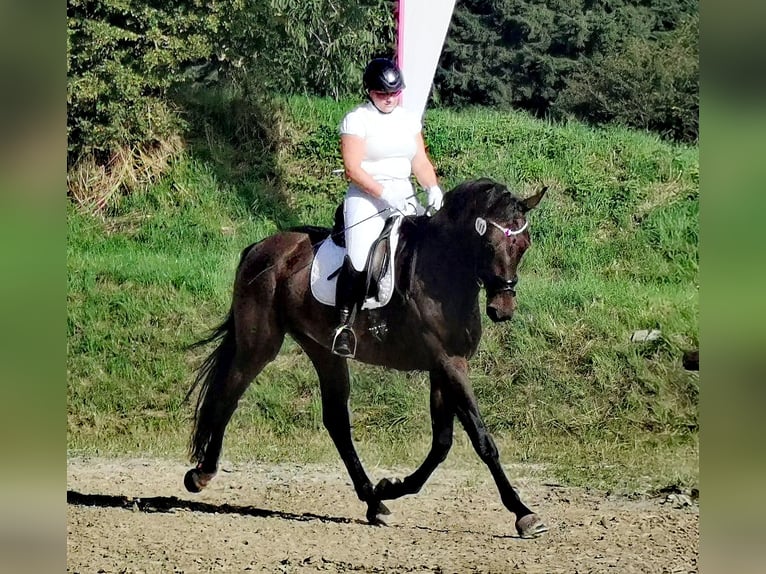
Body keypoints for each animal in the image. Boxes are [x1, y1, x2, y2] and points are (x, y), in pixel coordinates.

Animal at [183, 177, 548, 540]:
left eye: (524, 245)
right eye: (488, 244)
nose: (502, 310)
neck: (441, 271)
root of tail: (261, 247)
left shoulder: (443, 366)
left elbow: (442, 443)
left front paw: (391, 487)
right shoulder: (449, 364)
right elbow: (481, 439)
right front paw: (524, 514)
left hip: (323, 349)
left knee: (336, 421)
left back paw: (374, 501)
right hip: (260, 344)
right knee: (229, 394)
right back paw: (201, 474)